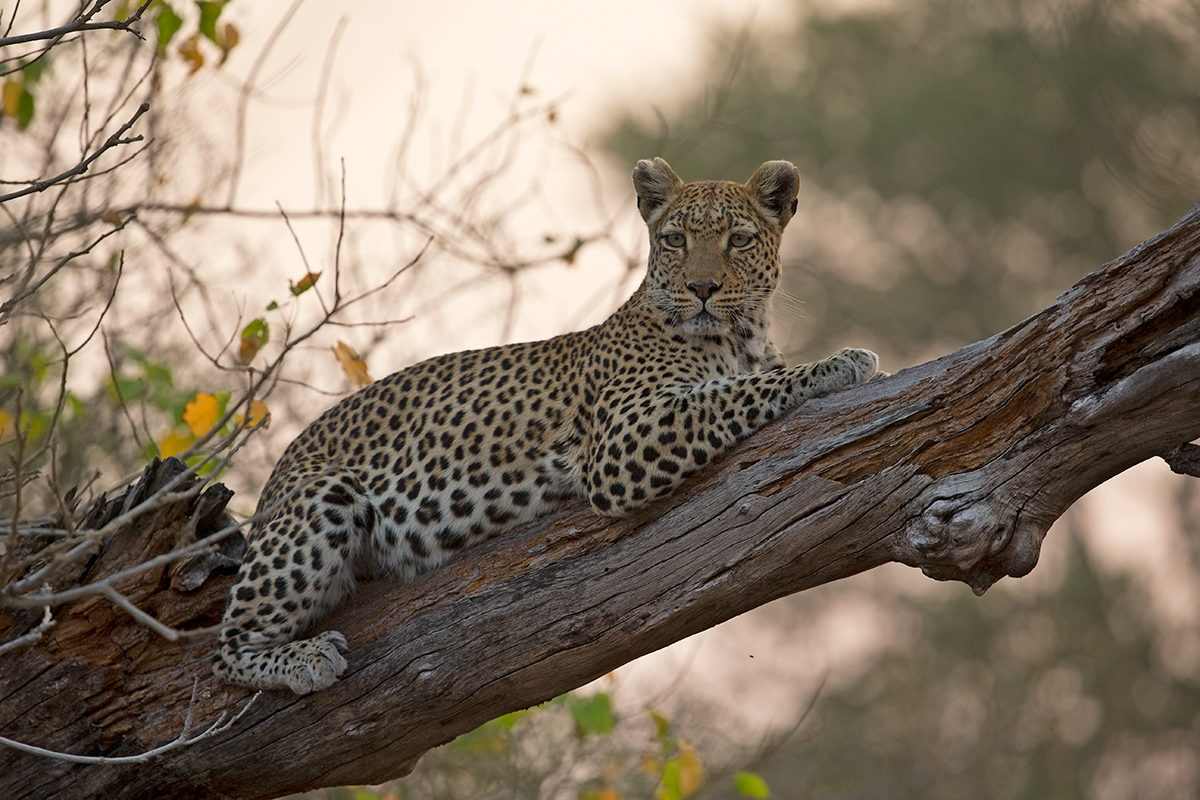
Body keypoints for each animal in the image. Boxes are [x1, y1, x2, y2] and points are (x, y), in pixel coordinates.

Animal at [212, 158, 880, 694]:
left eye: (738, 239)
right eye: (674, 239)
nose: (703, 287)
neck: (742, 338)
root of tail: (272, 480)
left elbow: (743, 383)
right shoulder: (622, 439)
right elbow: (732, 393)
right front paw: (838, 364)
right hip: (323, 496)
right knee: (226, 649)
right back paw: (304, 660)